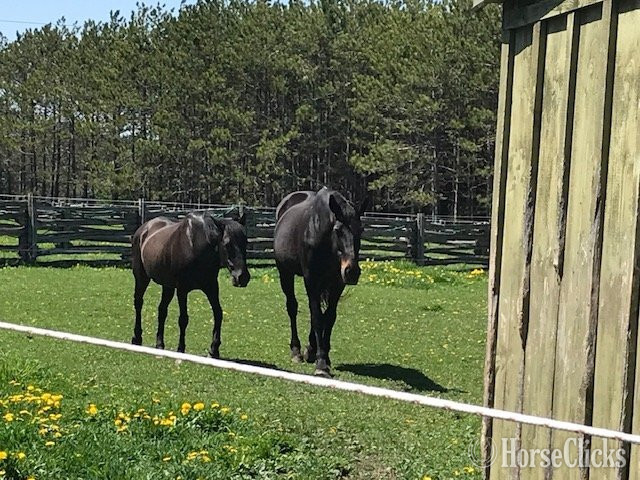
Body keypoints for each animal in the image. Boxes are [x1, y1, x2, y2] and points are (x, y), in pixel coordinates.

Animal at [130, 212, 250, 358]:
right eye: (227, 244)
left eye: (245, 242)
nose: (242, 277)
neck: (197, 246)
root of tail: (143, 229)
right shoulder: (182, 290)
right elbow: (183, 319)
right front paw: (181, 348)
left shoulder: (211, 287)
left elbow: (218, 314)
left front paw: (214, 350)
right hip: (141, 278)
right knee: (139, 303)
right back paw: (137, 338)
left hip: (168, 286)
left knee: (162, 310)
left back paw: (159, 344)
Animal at [273, 187, 368, 377]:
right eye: (338, 230)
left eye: (361, 229)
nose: (352, 271)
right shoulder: (311, 279)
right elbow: (317, 317)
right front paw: (321, 364)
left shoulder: (338, 283)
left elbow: (328, 317)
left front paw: (322, 355)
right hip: (285, 272)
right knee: (292, 307)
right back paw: (296, 351)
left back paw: (311, 349)